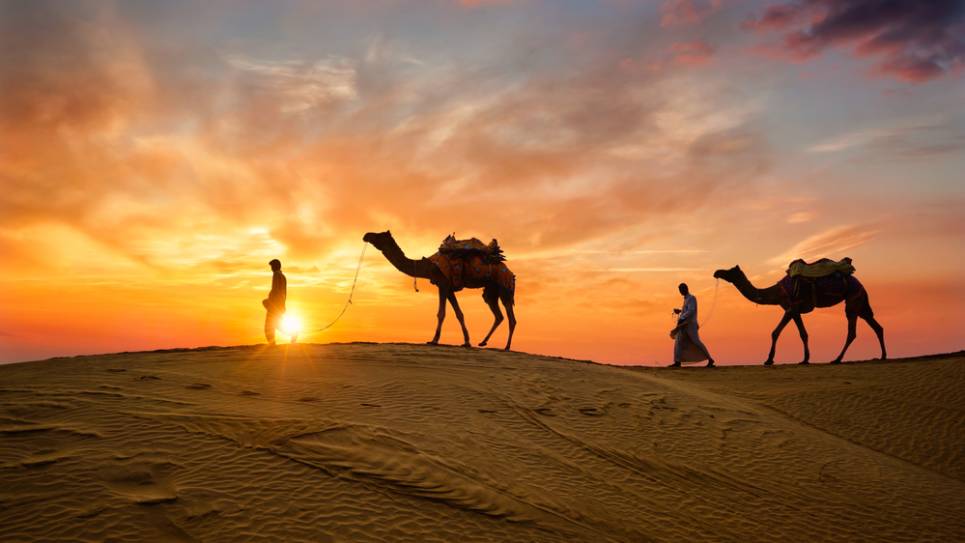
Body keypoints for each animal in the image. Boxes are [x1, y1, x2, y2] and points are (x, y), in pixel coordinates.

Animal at [362, 231, 516, 350]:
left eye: (379, 235)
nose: (366, 235)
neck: (429, 266)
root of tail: (512, 274)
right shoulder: (449, 288)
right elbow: (459, 314)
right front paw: (467, 342)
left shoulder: (442, 284)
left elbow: (441, 313)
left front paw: (434, 340)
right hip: (491, 291)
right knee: (498, 315)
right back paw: (483, 342)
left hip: (505, 288)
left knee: (511, 318)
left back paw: (507, 347)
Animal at [712, 264, 884, 366]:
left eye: (730, 271)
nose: (716, 272)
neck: (777, 292)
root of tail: (862, 285)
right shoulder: (794, 310)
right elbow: (803, 333)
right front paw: (805, 359)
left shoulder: (791, 307)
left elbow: (775, 332)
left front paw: (769, 360)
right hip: (860, 303)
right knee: (877, 327)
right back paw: (883, 356)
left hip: (853, 300)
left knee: (852, 332)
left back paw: (837, 359)